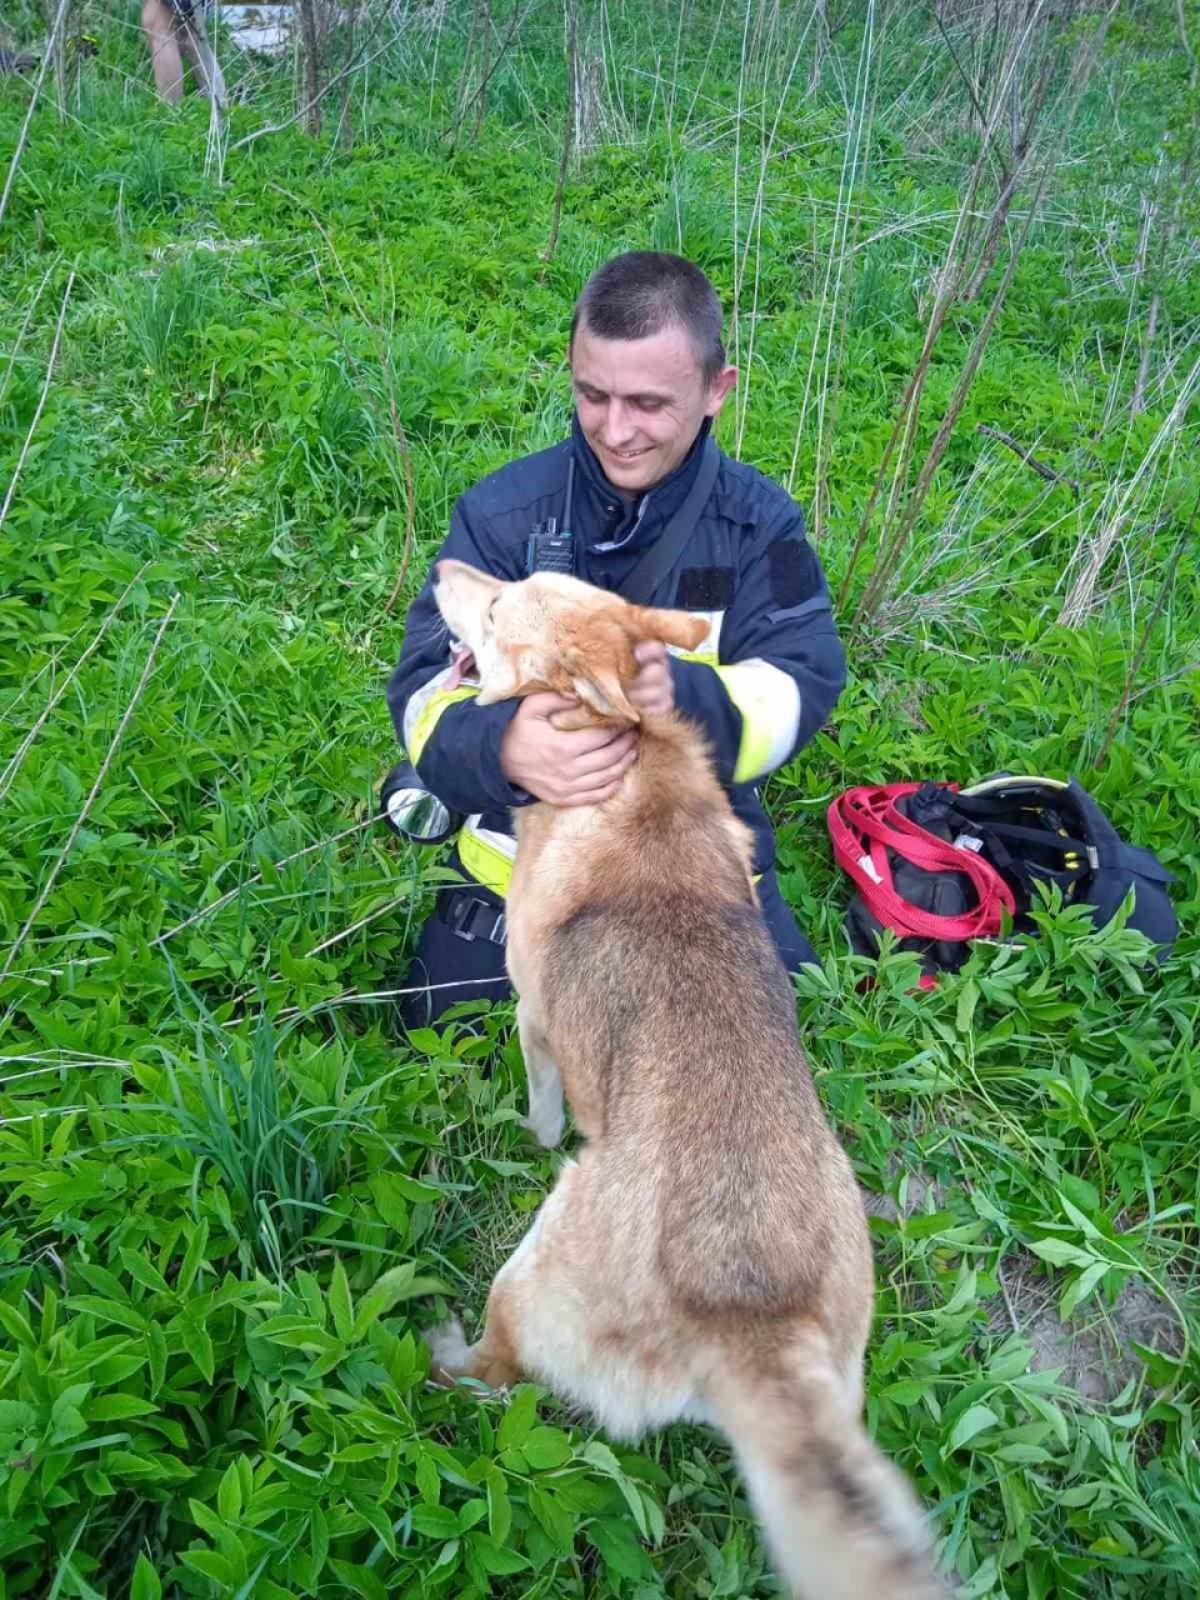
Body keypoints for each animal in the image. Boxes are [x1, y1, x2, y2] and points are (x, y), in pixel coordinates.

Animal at [428, 556, 947, 1593]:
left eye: (499, 607)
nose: (441, 566)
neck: (633, 761)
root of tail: (757, 1319)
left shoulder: (535, 1019)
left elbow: (542, 1108)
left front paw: (529, 1132)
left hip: (533, 1266)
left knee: (497, 1374)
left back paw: (441, 1355)